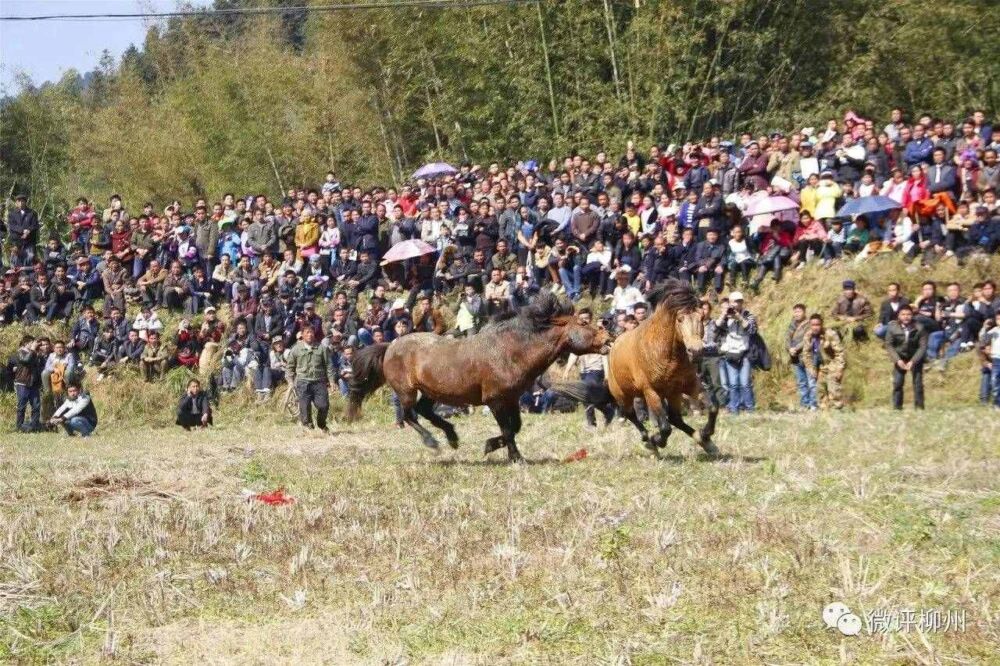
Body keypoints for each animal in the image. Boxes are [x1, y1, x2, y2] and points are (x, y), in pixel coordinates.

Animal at [604, 278, 716, 454]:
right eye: (680, 319)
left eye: (702, 317)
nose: (696, 351)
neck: (668, 355)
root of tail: (614, 342)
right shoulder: (651, 391)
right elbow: (665, 427)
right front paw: (656, 440)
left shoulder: (689, 384)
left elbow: (712, 408)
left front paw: (706, 436)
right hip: (622, 393)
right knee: (630, 414)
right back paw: (648, 441)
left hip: (673, 394)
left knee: (676, 419)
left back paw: (703, 442)